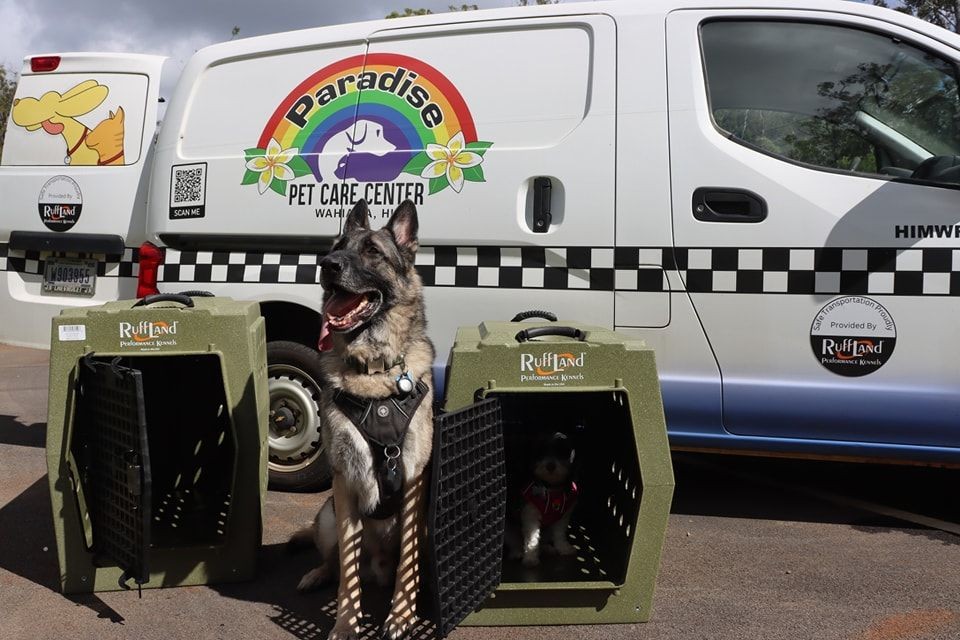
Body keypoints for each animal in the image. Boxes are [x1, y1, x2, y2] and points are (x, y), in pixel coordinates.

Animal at [292, 200, 436, 640]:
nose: (327, 265)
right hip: (328, 517)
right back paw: (317, 574)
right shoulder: (345, 484)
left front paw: (401, 617)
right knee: (338, 561)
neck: (374, 372)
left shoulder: (413, 481)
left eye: (372, 251)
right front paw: (345, 623)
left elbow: (409, 565)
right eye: (336, 246)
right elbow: (348, 576)